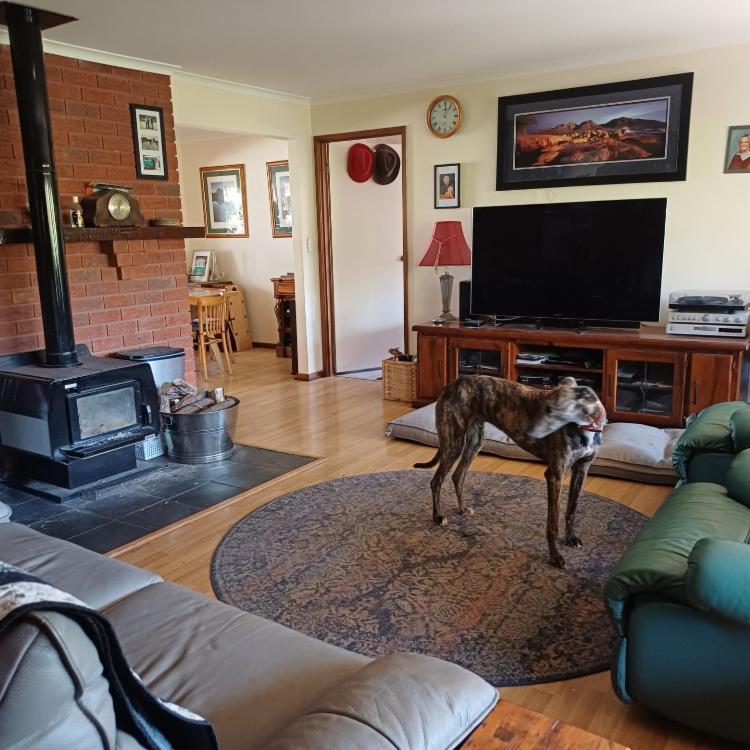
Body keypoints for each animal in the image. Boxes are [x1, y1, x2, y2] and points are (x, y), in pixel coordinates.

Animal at [414, 375, 606, 568]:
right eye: (546, 408)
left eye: (553, 411)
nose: (530, 432)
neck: (584, 428)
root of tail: (451, 384)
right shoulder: (555, 475)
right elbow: (553, 523)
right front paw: (555, 556)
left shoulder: (581, 469)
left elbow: (571, 509)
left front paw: (571, 538)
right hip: (454, 443)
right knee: (436, 481)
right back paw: (438, 517)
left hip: (475, 441)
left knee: (457, 476)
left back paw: (462, 509)